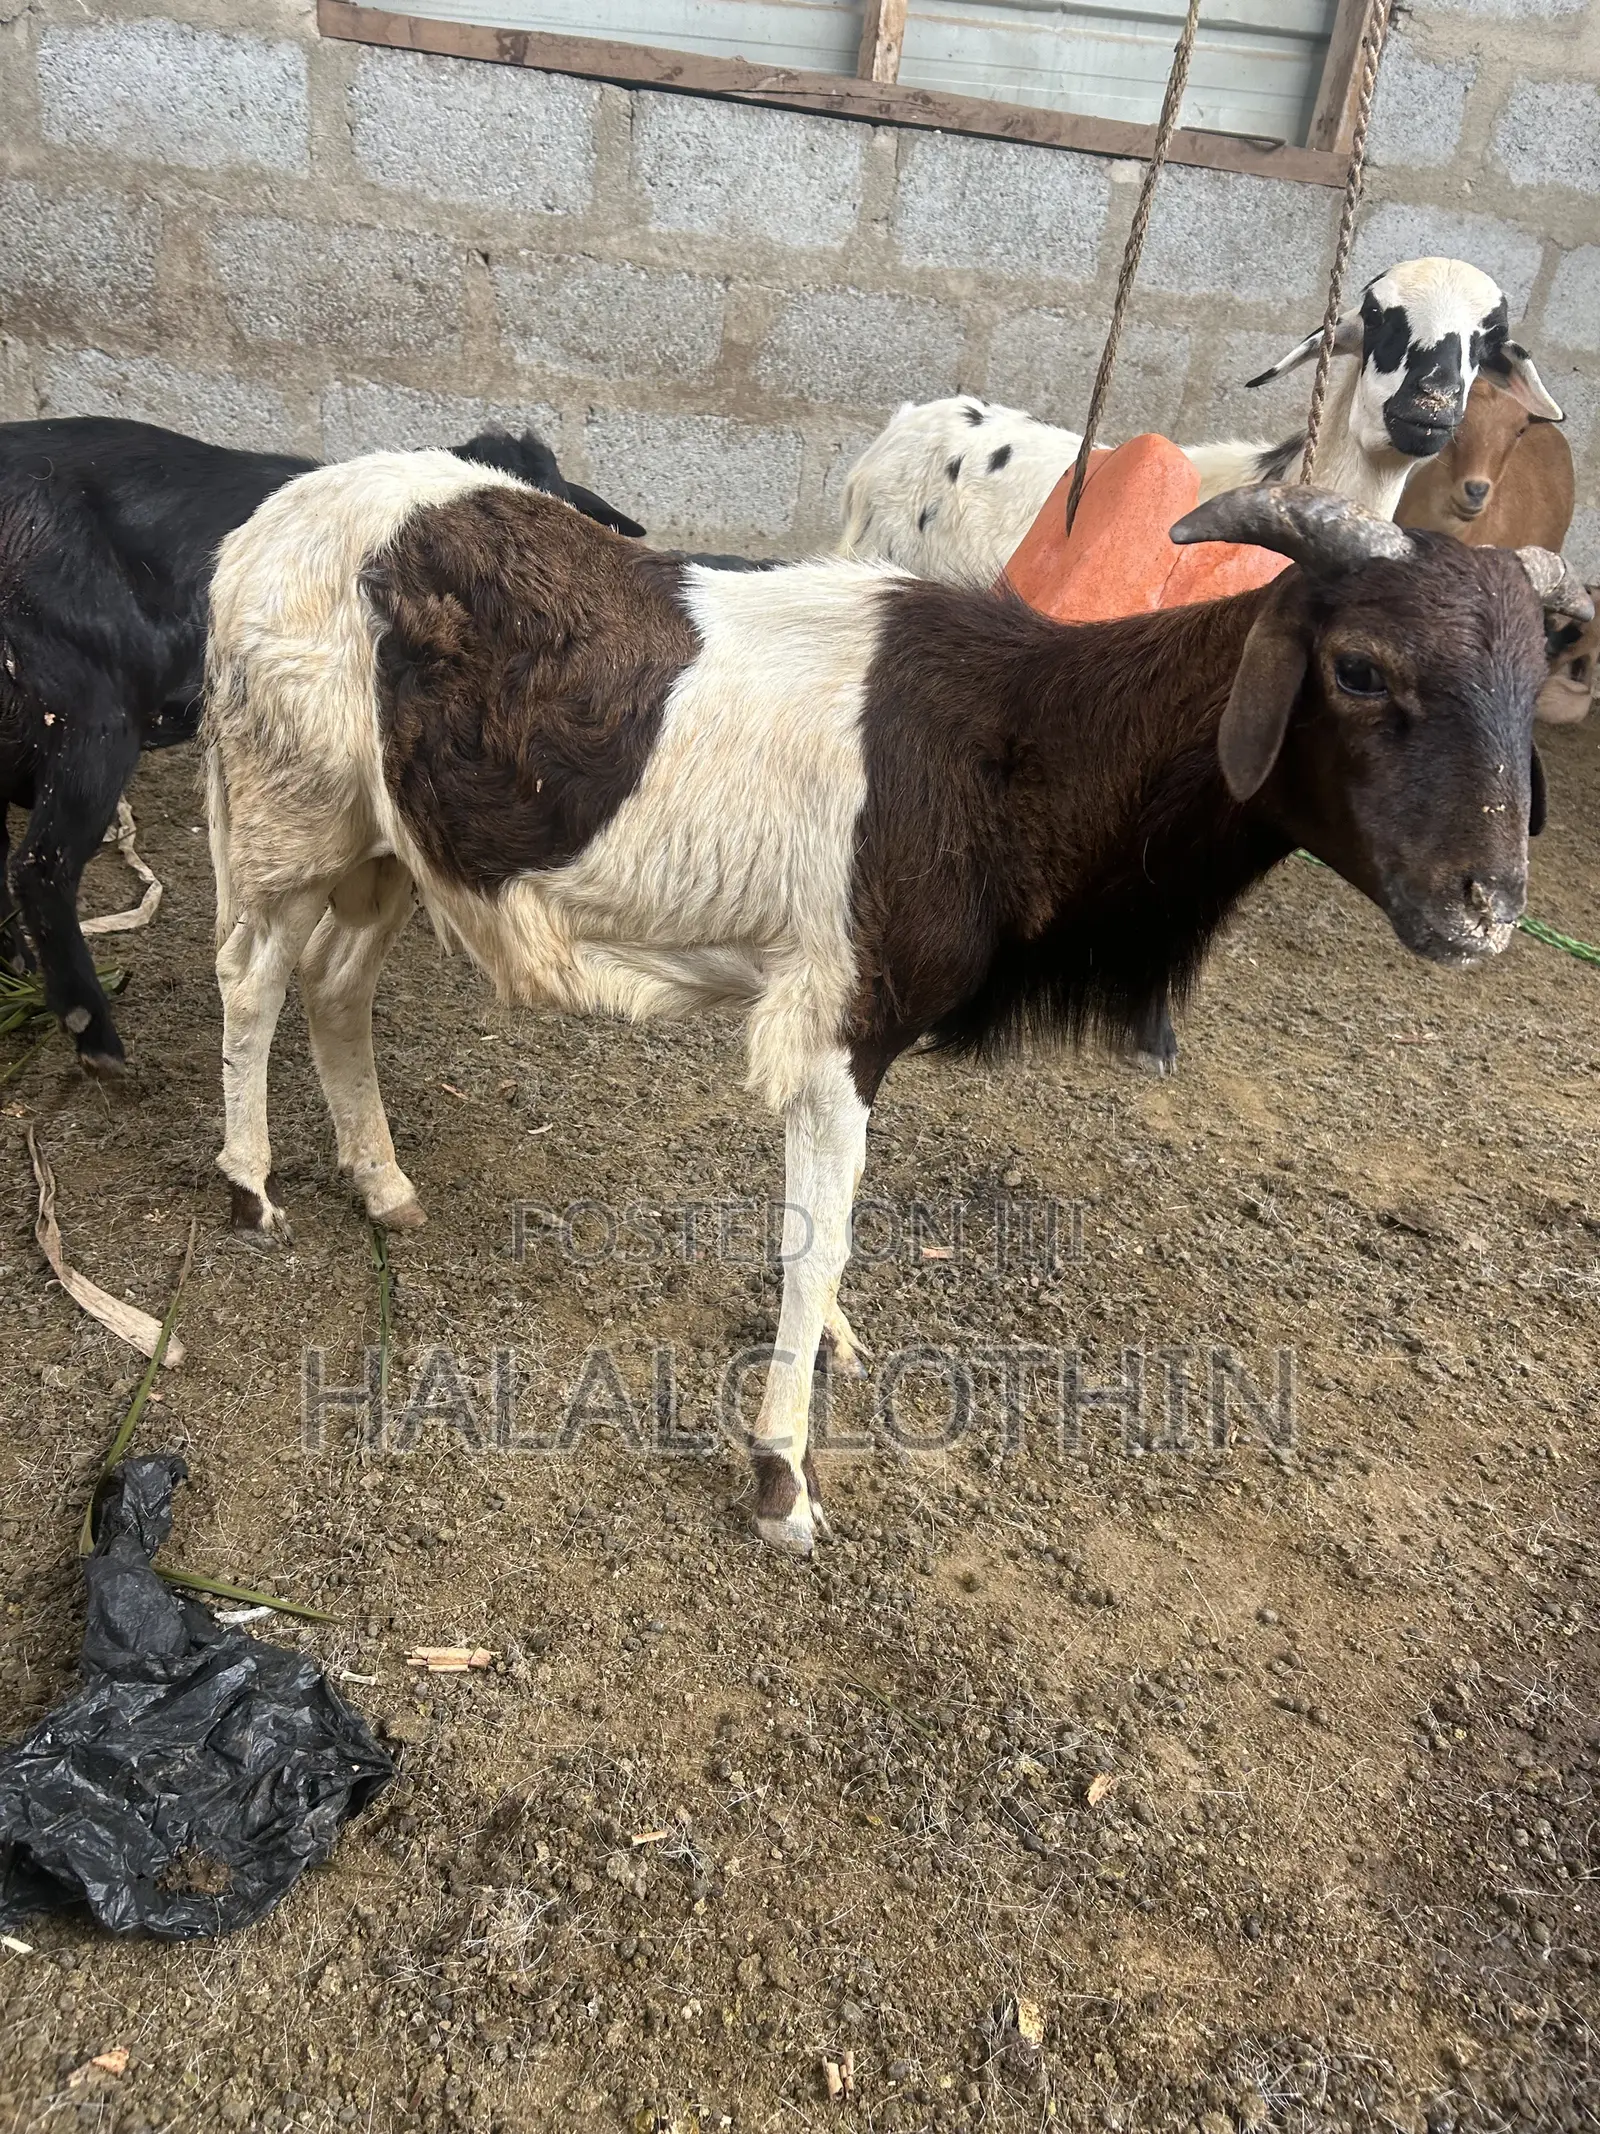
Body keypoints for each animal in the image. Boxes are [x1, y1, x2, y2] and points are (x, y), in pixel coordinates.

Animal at [201, 445, 1589, 1552]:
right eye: (1359, 668)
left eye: (1536, 681)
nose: (1484, 905)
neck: (1018, 739)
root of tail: (258, 532)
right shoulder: (837, 1019)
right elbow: (817, 1239)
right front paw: (782, 1479)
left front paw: (829, 1359)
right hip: (289, 801)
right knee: (252, 976)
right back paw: (250, 1184)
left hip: (392, 837)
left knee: (336, 985)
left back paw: (382, 1183)